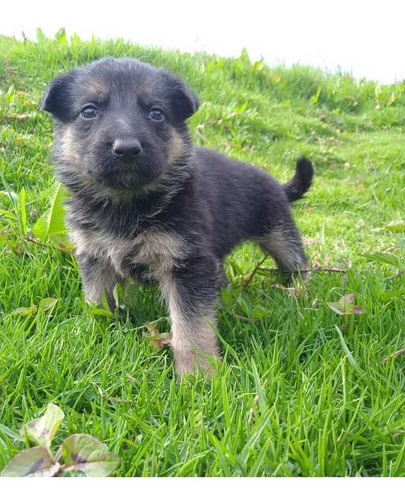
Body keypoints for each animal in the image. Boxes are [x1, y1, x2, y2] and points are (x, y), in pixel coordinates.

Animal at [41, 57, 312, 376]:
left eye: (156, 113)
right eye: (89, 111)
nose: (127, 149)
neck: (127, 204)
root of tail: (276, 185)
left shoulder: (187, 265)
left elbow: (192, 327)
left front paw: (198, 375)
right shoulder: (95, 257)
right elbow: (96, 301)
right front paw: (96, 335)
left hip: (278, 230)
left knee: (297, 261)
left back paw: (301, 292)